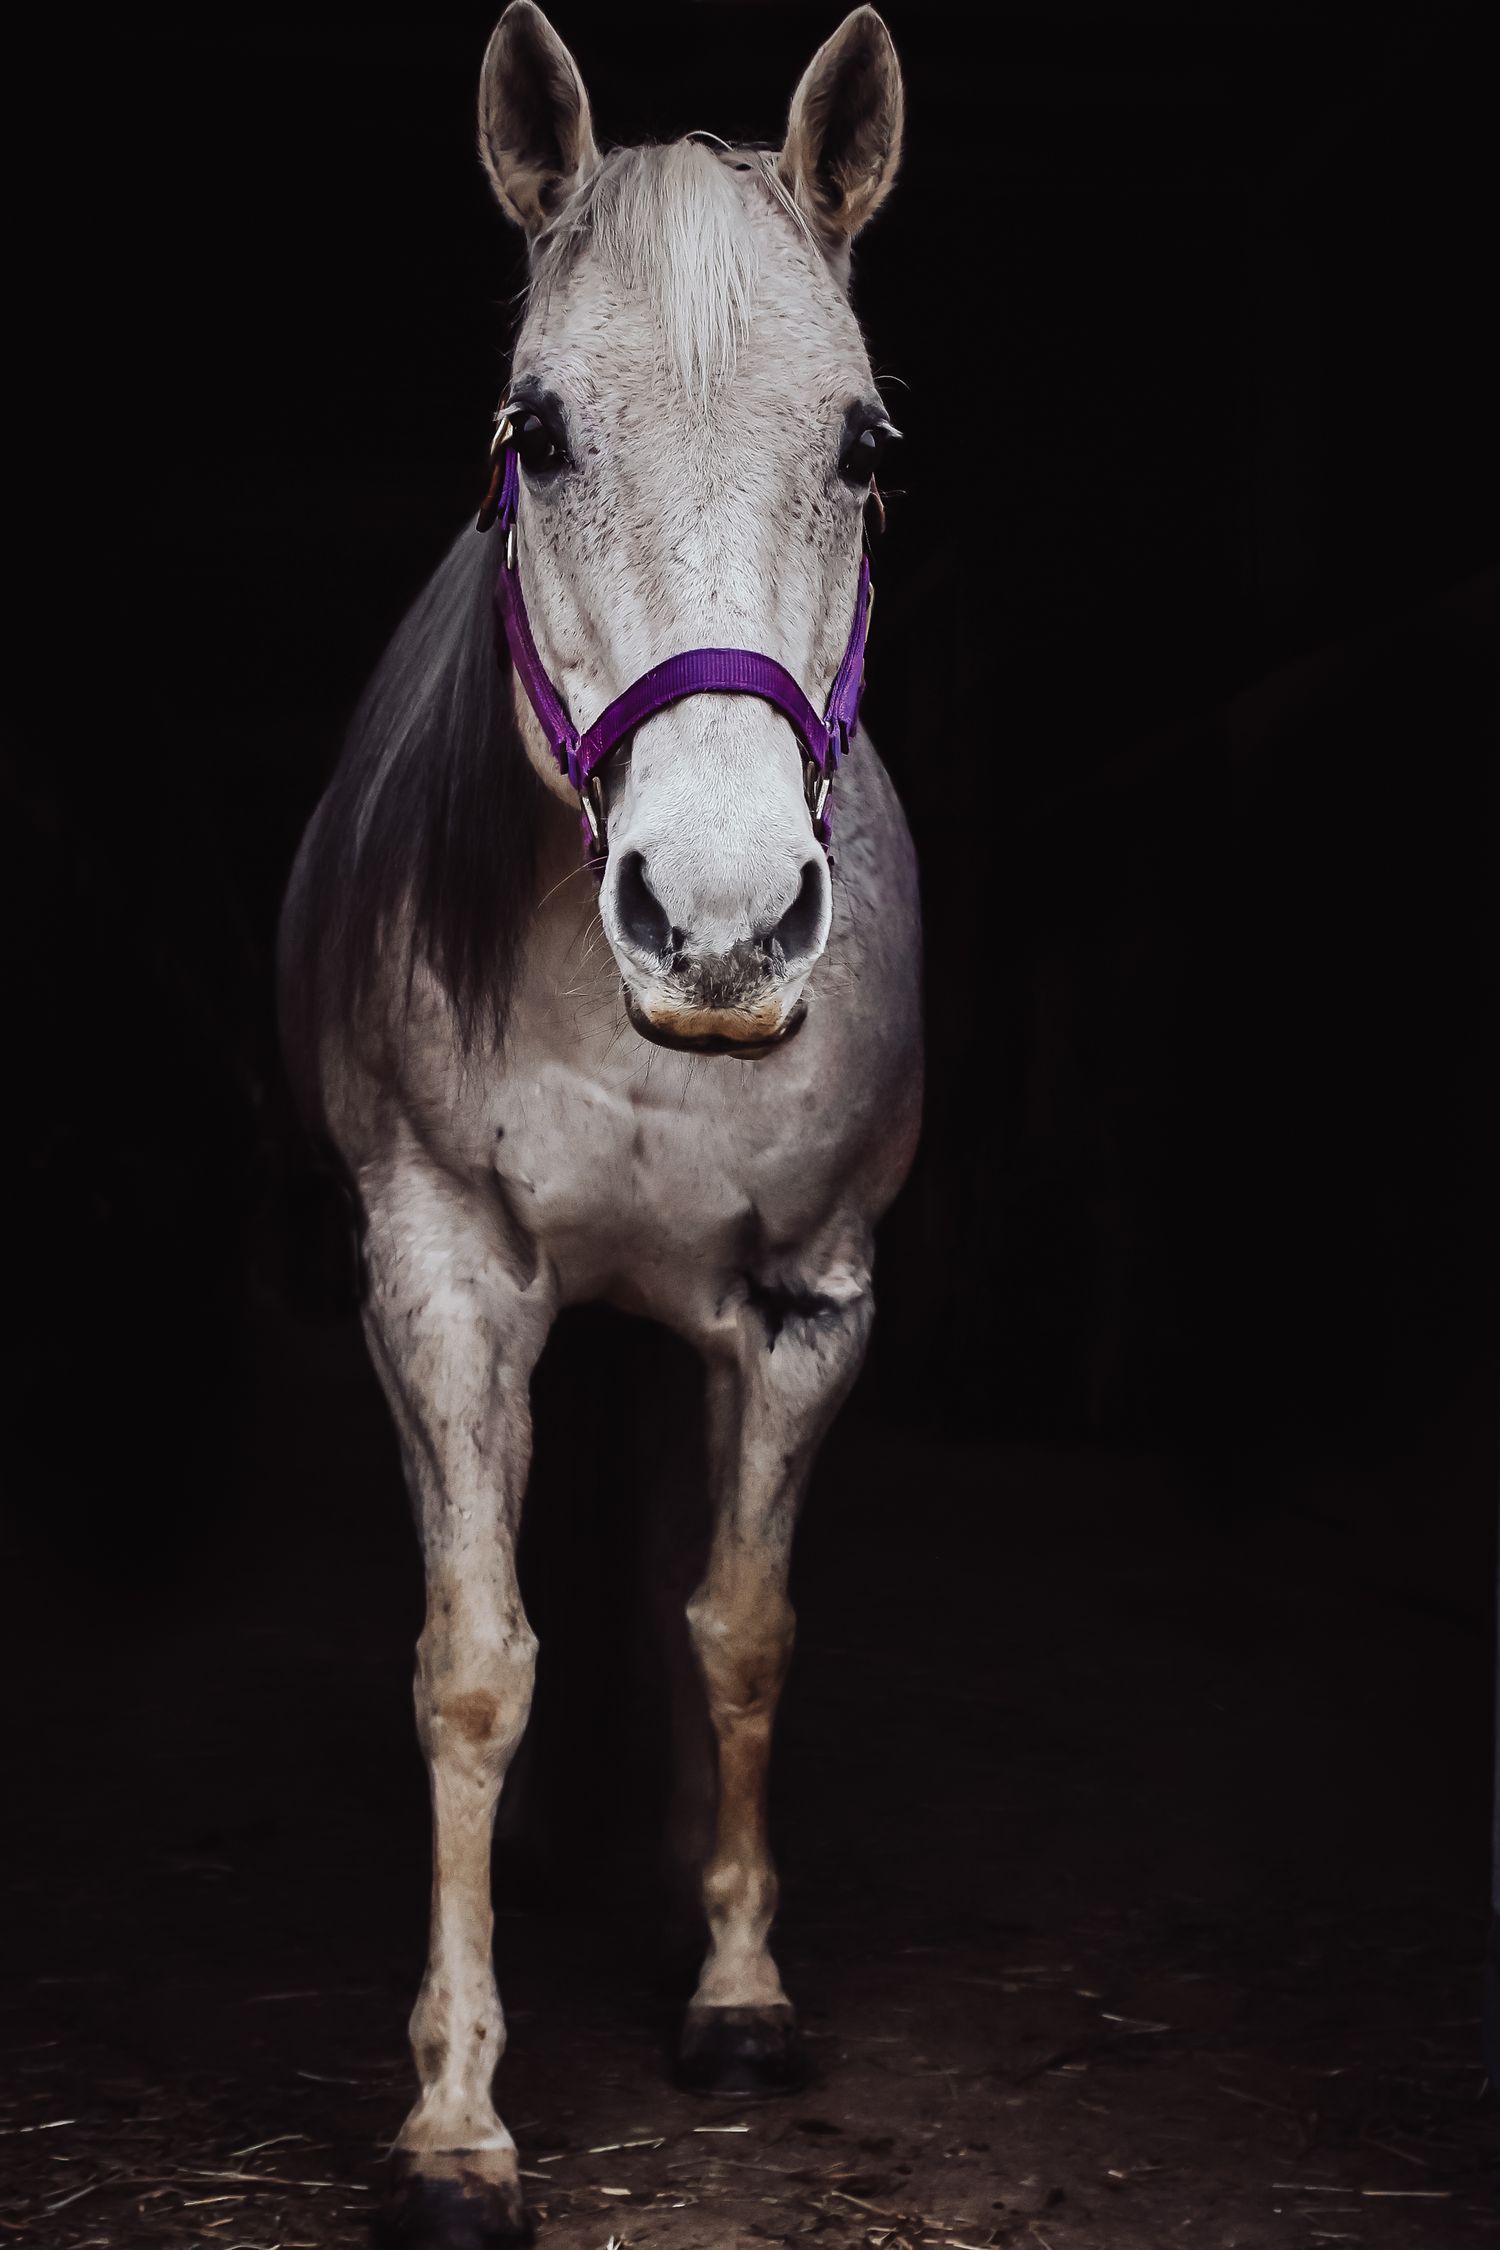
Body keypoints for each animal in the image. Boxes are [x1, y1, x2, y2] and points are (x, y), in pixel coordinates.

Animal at [278, 7, 922, 2242]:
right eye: (537, 431)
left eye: (864, 445)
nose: (717, 917)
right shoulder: (441, 1282)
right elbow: (474, 1667)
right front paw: (456, 2118)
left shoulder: (811, 1302)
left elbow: (744, 1627)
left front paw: (736, 1989)